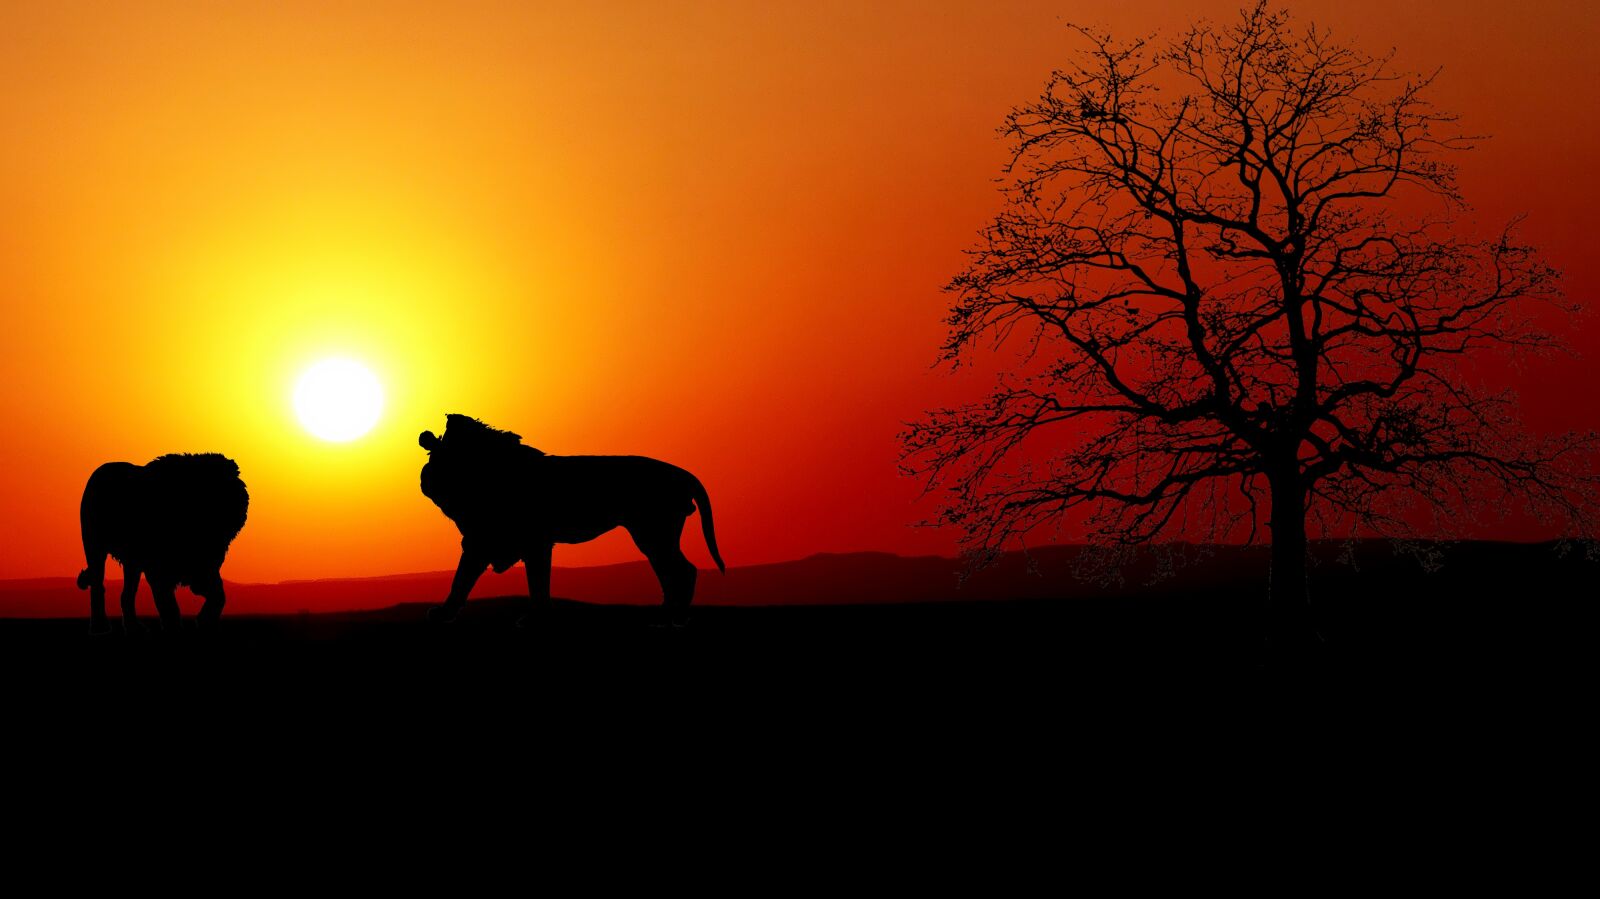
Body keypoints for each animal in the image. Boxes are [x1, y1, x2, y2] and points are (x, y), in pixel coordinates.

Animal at [76, 453, 249, 634]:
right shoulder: (159, 568)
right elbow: (168, 602)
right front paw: (174, 626)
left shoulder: (205, 565)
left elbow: (218, 594)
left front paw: (205, 620)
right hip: (95, 549)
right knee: (97, 585)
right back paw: (99, 626)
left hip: (132, 563)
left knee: (127, 594)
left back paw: (134, 626)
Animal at [419, 414, 725, 626]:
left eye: (440, 459)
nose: (425, 482)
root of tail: (682, 474)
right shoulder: (483, 543)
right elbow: (463, 581)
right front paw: (444, 613)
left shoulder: (527, 544)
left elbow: (532, 583)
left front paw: (532, 619)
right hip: (652, 537)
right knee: (670, 574)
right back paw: (665, 616)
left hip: (654, 534)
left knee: (683, 571)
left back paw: (675, 618)